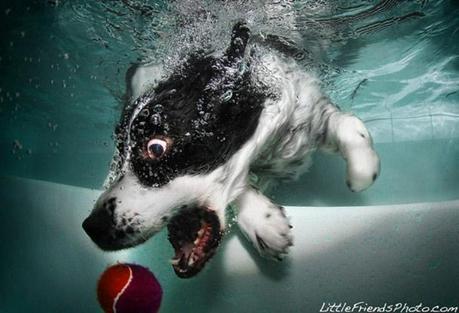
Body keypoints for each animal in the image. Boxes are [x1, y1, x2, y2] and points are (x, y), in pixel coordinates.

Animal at [82, 7, 380, 278]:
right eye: (119, 149)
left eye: (156, 147)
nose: (91, 227)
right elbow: (240, 186)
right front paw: (263, 222)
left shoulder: (307, 111)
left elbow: (351, 127)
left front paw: (361, 173)